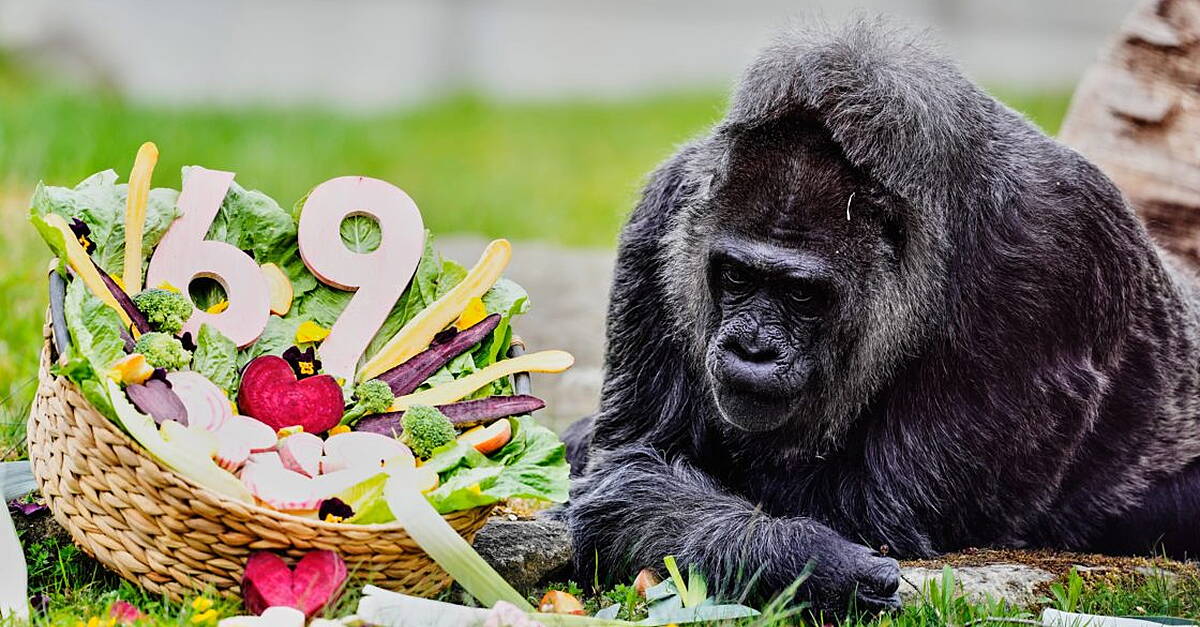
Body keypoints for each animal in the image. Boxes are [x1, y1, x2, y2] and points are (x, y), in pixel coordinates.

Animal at [561, 20, 1200, 613]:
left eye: (801, 295)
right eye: (738, 277)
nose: (751, 349)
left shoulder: (1053, 256)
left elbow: (874, 510)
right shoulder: (664, 211)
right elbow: (632, 466)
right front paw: (801, 558)